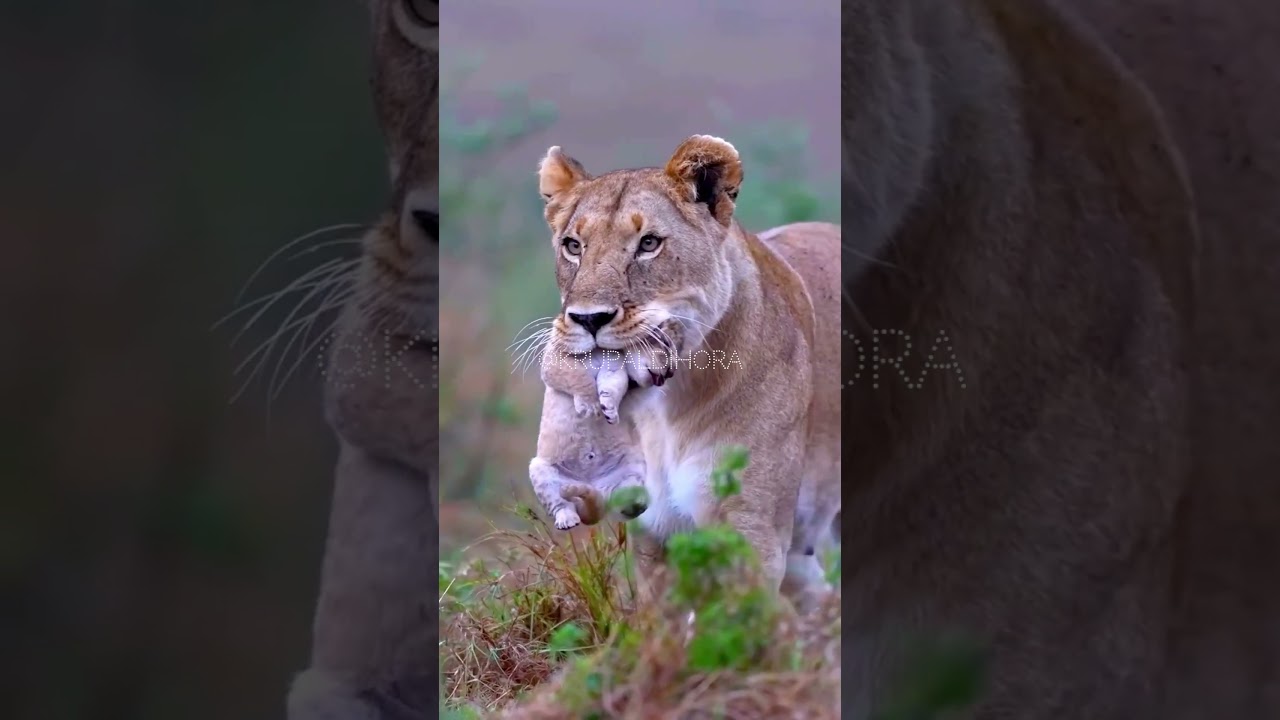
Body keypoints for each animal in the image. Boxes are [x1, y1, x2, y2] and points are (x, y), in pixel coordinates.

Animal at [535, 136, 843, 611]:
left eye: (648, 243)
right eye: (573, 245)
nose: (588, 319)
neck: (667, 410)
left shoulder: (752, 535)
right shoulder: (654, 534)